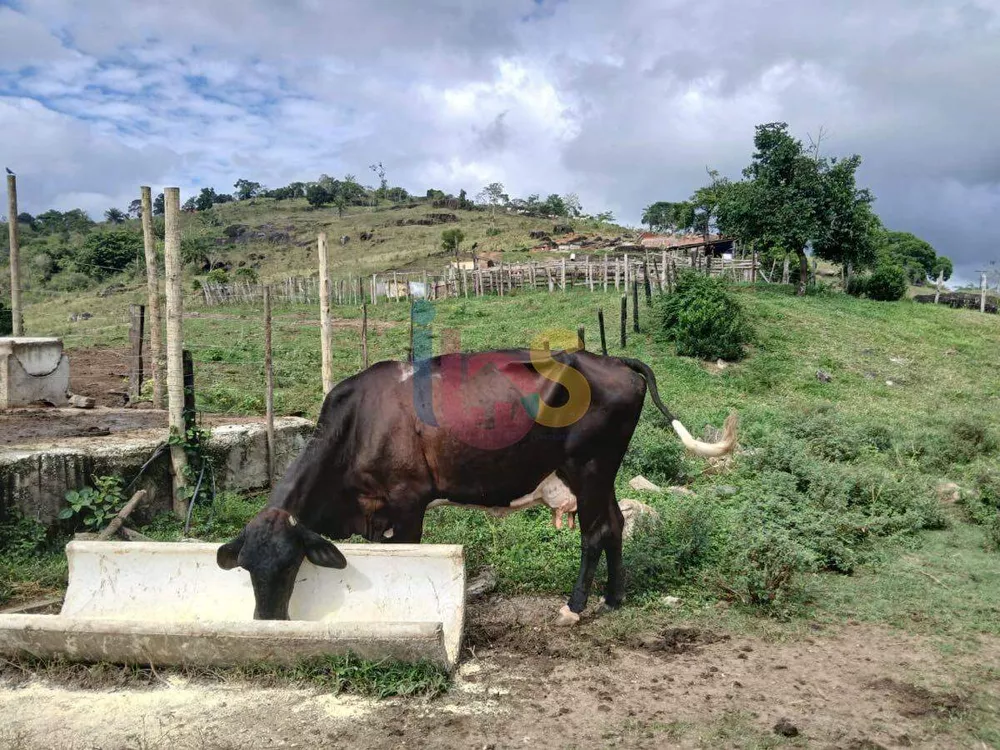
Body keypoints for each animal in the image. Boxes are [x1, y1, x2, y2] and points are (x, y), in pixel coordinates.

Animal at [219, 350, 736, 624]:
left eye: (290, 566)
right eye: (245, 568)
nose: (267, 621)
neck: (359, 424)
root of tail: (610, 359)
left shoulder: (408, 503)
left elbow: (409, 559)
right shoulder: (375, 511)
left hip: (589, 467)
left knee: (595, 532)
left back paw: (574, 607)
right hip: (598, 473)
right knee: (617, 524)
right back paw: (613, 597)